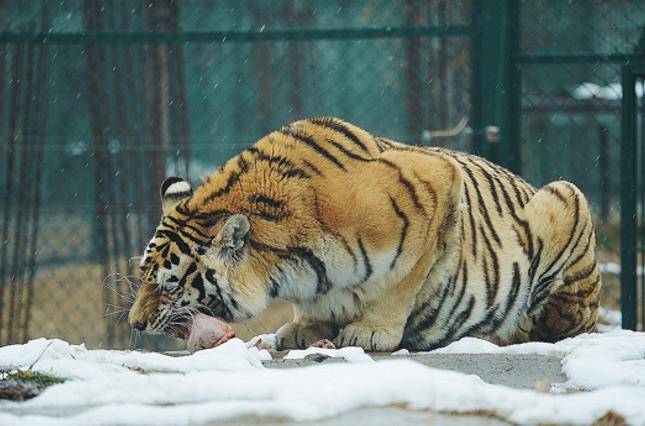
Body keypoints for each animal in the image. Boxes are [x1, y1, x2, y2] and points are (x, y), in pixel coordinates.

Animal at [128, 115, 600, 350]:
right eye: (142, 276)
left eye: (169, 285)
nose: (134, 323)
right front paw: (306, 327)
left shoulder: (438, 182)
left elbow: (402, 281)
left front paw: (371, 331)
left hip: (566, 197)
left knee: (561, 322)